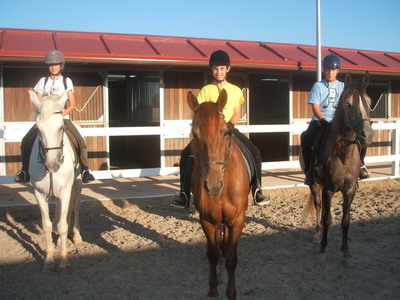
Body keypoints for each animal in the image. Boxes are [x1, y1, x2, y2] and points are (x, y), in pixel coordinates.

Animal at [28, 89, 83, 270]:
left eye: (61, 127)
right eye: (38, 128)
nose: (52, 165)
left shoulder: (66, 190)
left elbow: (63, 225)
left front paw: (64, 261)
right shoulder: (38, 193)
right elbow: (47, 225)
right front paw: (49, 258)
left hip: (77, 183)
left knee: (75, 206)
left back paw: (76, 237)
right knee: (59, 212)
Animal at [188, 89, 250, 300]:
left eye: (226, 132)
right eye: (194, 134)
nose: (213, 186)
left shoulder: (238, 218)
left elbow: (232, 259)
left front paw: (231, 292)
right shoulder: (206, 218)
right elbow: (213, 254)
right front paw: (213, 289)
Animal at [304, 72, 376, 258]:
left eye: (369, 102)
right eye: (349, 103)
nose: (367, 135)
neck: (343, 156)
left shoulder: (350, 189)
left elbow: (345, 220)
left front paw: (345, 250)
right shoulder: (328, 188)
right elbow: (327, 218)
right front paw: (323, 247)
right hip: (315, 184)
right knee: (318, 205)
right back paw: (318, 233)